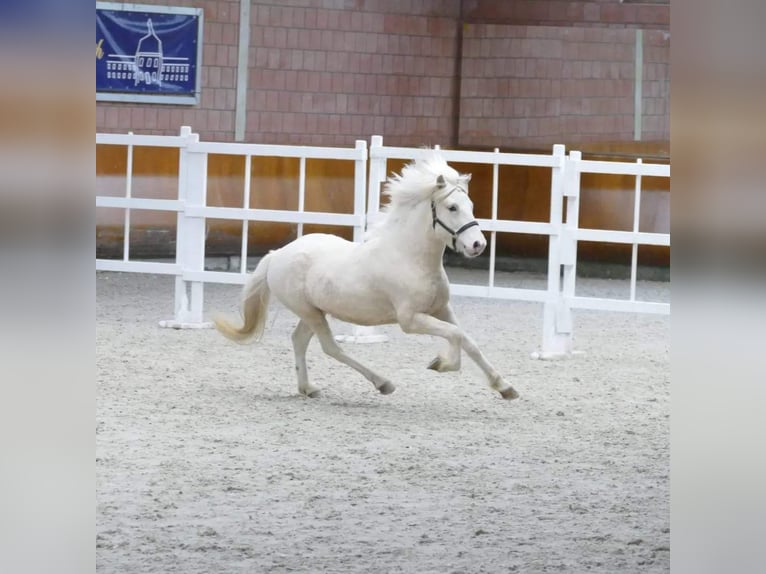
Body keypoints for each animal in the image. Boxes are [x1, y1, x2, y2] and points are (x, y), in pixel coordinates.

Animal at [214, 152, 520, 401]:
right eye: (452, 207)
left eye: (470, 204)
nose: (478, 245)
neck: (410, 257)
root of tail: (277, 254)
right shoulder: (410, 320)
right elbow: (455, 336)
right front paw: (442, 364)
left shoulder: (441, 309)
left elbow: (468, 340)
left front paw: (505, 387)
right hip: (309, 311)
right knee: (330, 347)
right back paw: (383, 383)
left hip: (314, 311)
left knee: (299, 340)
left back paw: (309, 388)